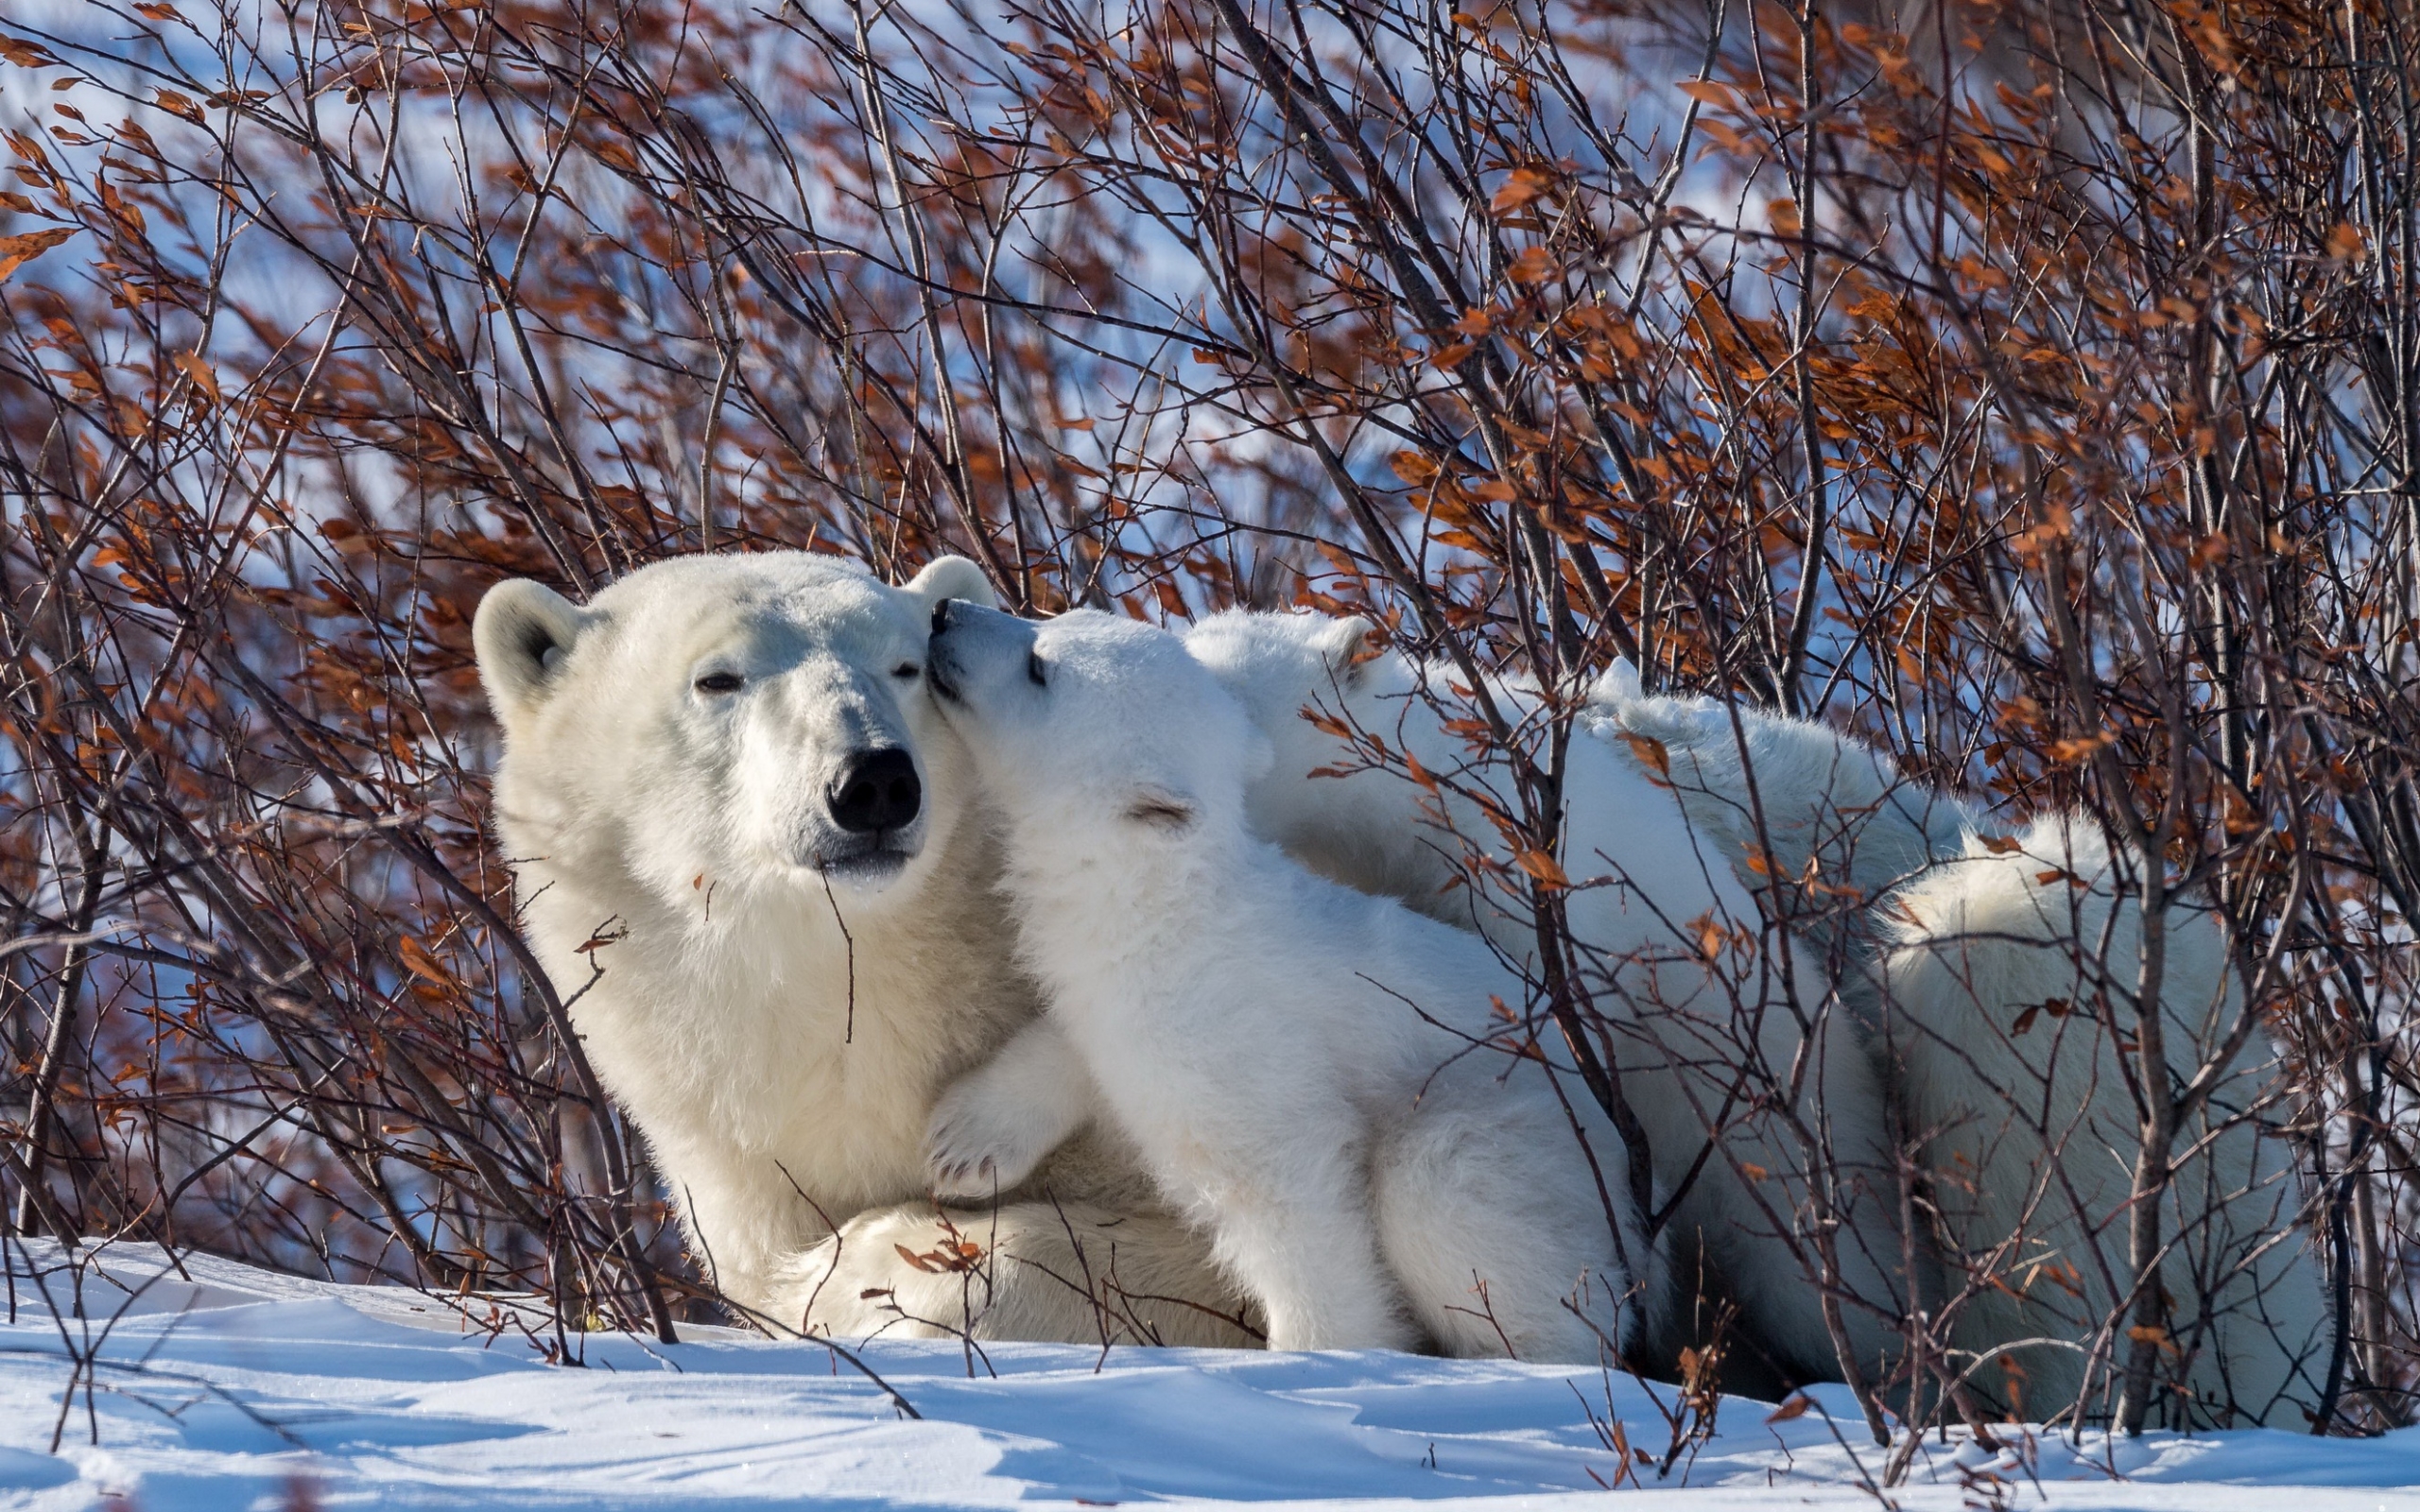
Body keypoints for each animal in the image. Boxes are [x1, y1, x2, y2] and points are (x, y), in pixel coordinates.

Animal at [921, 601, 1648, 1360]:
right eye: (1061, 614)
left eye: (1040, 668)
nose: (946, 614)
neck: (1167, 914)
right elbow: (1076, 1041)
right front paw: (961, 1142)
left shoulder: (1238, 1036)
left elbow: (1286, 1190)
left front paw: (1318, 1351)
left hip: (1505, 1124)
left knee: (1445, 1195)